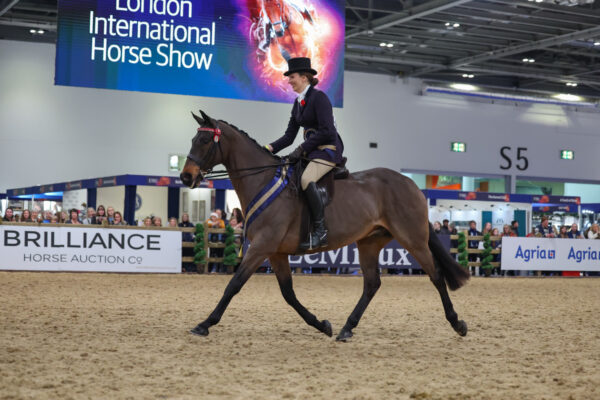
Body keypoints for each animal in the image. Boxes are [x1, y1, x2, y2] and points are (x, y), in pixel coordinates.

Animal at [180, 110, 472, 340]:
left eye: (204, 140)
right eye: (193, 139)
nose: (185, 177)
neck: (262, 180)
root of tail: (412, 184)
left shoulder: (262, 246)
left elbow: (234, 284)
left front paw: (205, 324)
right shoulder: (276, 252)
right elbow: (288, 293)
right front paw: (322, 325)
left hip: (412, 238)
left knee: (435, 275)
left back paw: (457, 323)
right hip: (370, 241)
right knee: (372, 284)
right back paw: (346, 328)